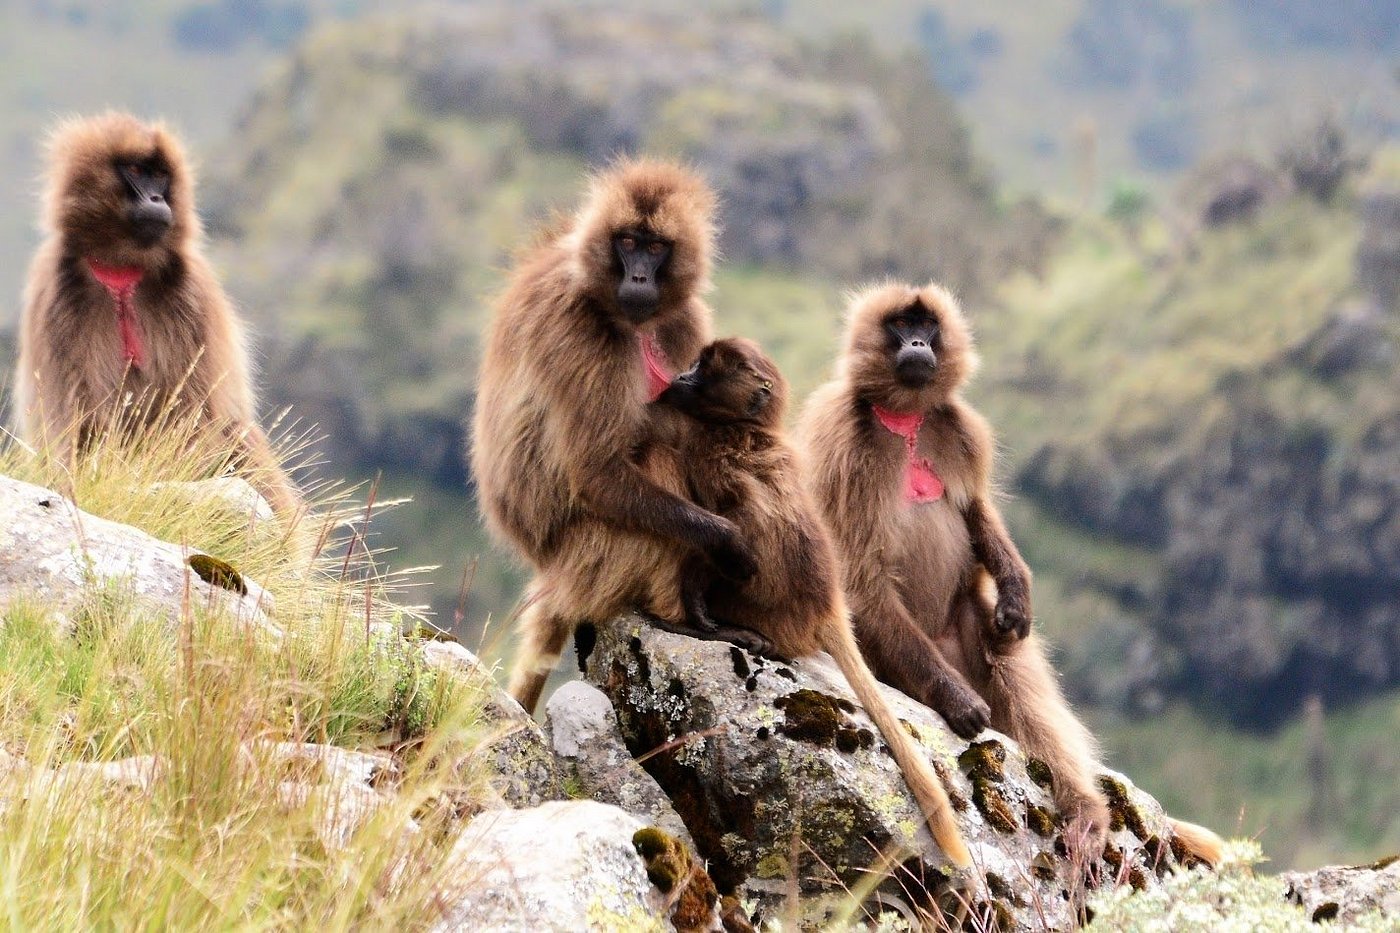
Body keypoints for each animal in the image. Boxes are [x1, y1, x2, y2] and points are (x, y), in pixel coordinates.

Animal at [12, 112, 299, 516]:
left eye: (161, 175)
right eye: (135, 170)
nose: (157, 199)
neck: (122, 271)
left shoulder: (194, 298)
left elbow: (196, 417)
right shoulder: (53, 299)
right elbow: (75, 424)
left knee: (236, 436)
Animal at [470, 159, 760, 715]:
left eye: (656, 246)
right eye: (626, 241)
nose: (640, 278)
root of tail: (550, 569)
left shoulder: (683, 319)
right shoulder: (578, 329)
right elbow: (597, 473)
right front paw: (727, 541)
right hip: (593, 553)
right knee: (656, 458)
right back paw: (688, 619)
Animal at [797, 282, 1223, 866]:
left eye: (926, 326)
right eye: (900, 325)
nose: (917, 344)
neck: (907, 419)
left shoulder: (959, 430)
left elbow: (974, 509)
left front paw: (1017, 590)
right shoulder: (841, 437)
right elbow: (861, 574)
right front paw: (955, 700)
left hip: (968, 631)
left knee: (1009, 658)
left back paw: (1085, 815)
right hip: (896, 654)